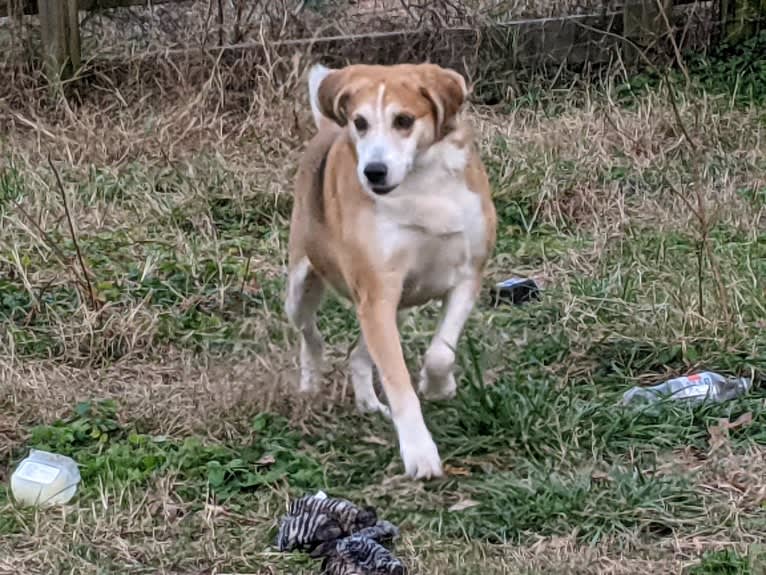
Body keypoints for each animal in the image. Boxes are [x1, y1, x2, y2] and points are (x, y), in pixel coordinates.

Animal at [286, 63, 498, 480]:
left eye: (403, 120)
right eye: (360, 122)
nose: (374, 171)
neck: (421, 184)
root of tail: (326, 130)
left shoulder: (468, 276)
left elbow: (441, 352)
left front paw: (439, 387)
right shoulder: (377, 293)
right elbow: (398, 382)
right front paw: (419, 452)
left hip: (389, 308)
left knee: (357, 354)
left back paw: (368, 402)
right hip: (302, 288)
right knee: (310, 335)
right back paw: (309, 381)